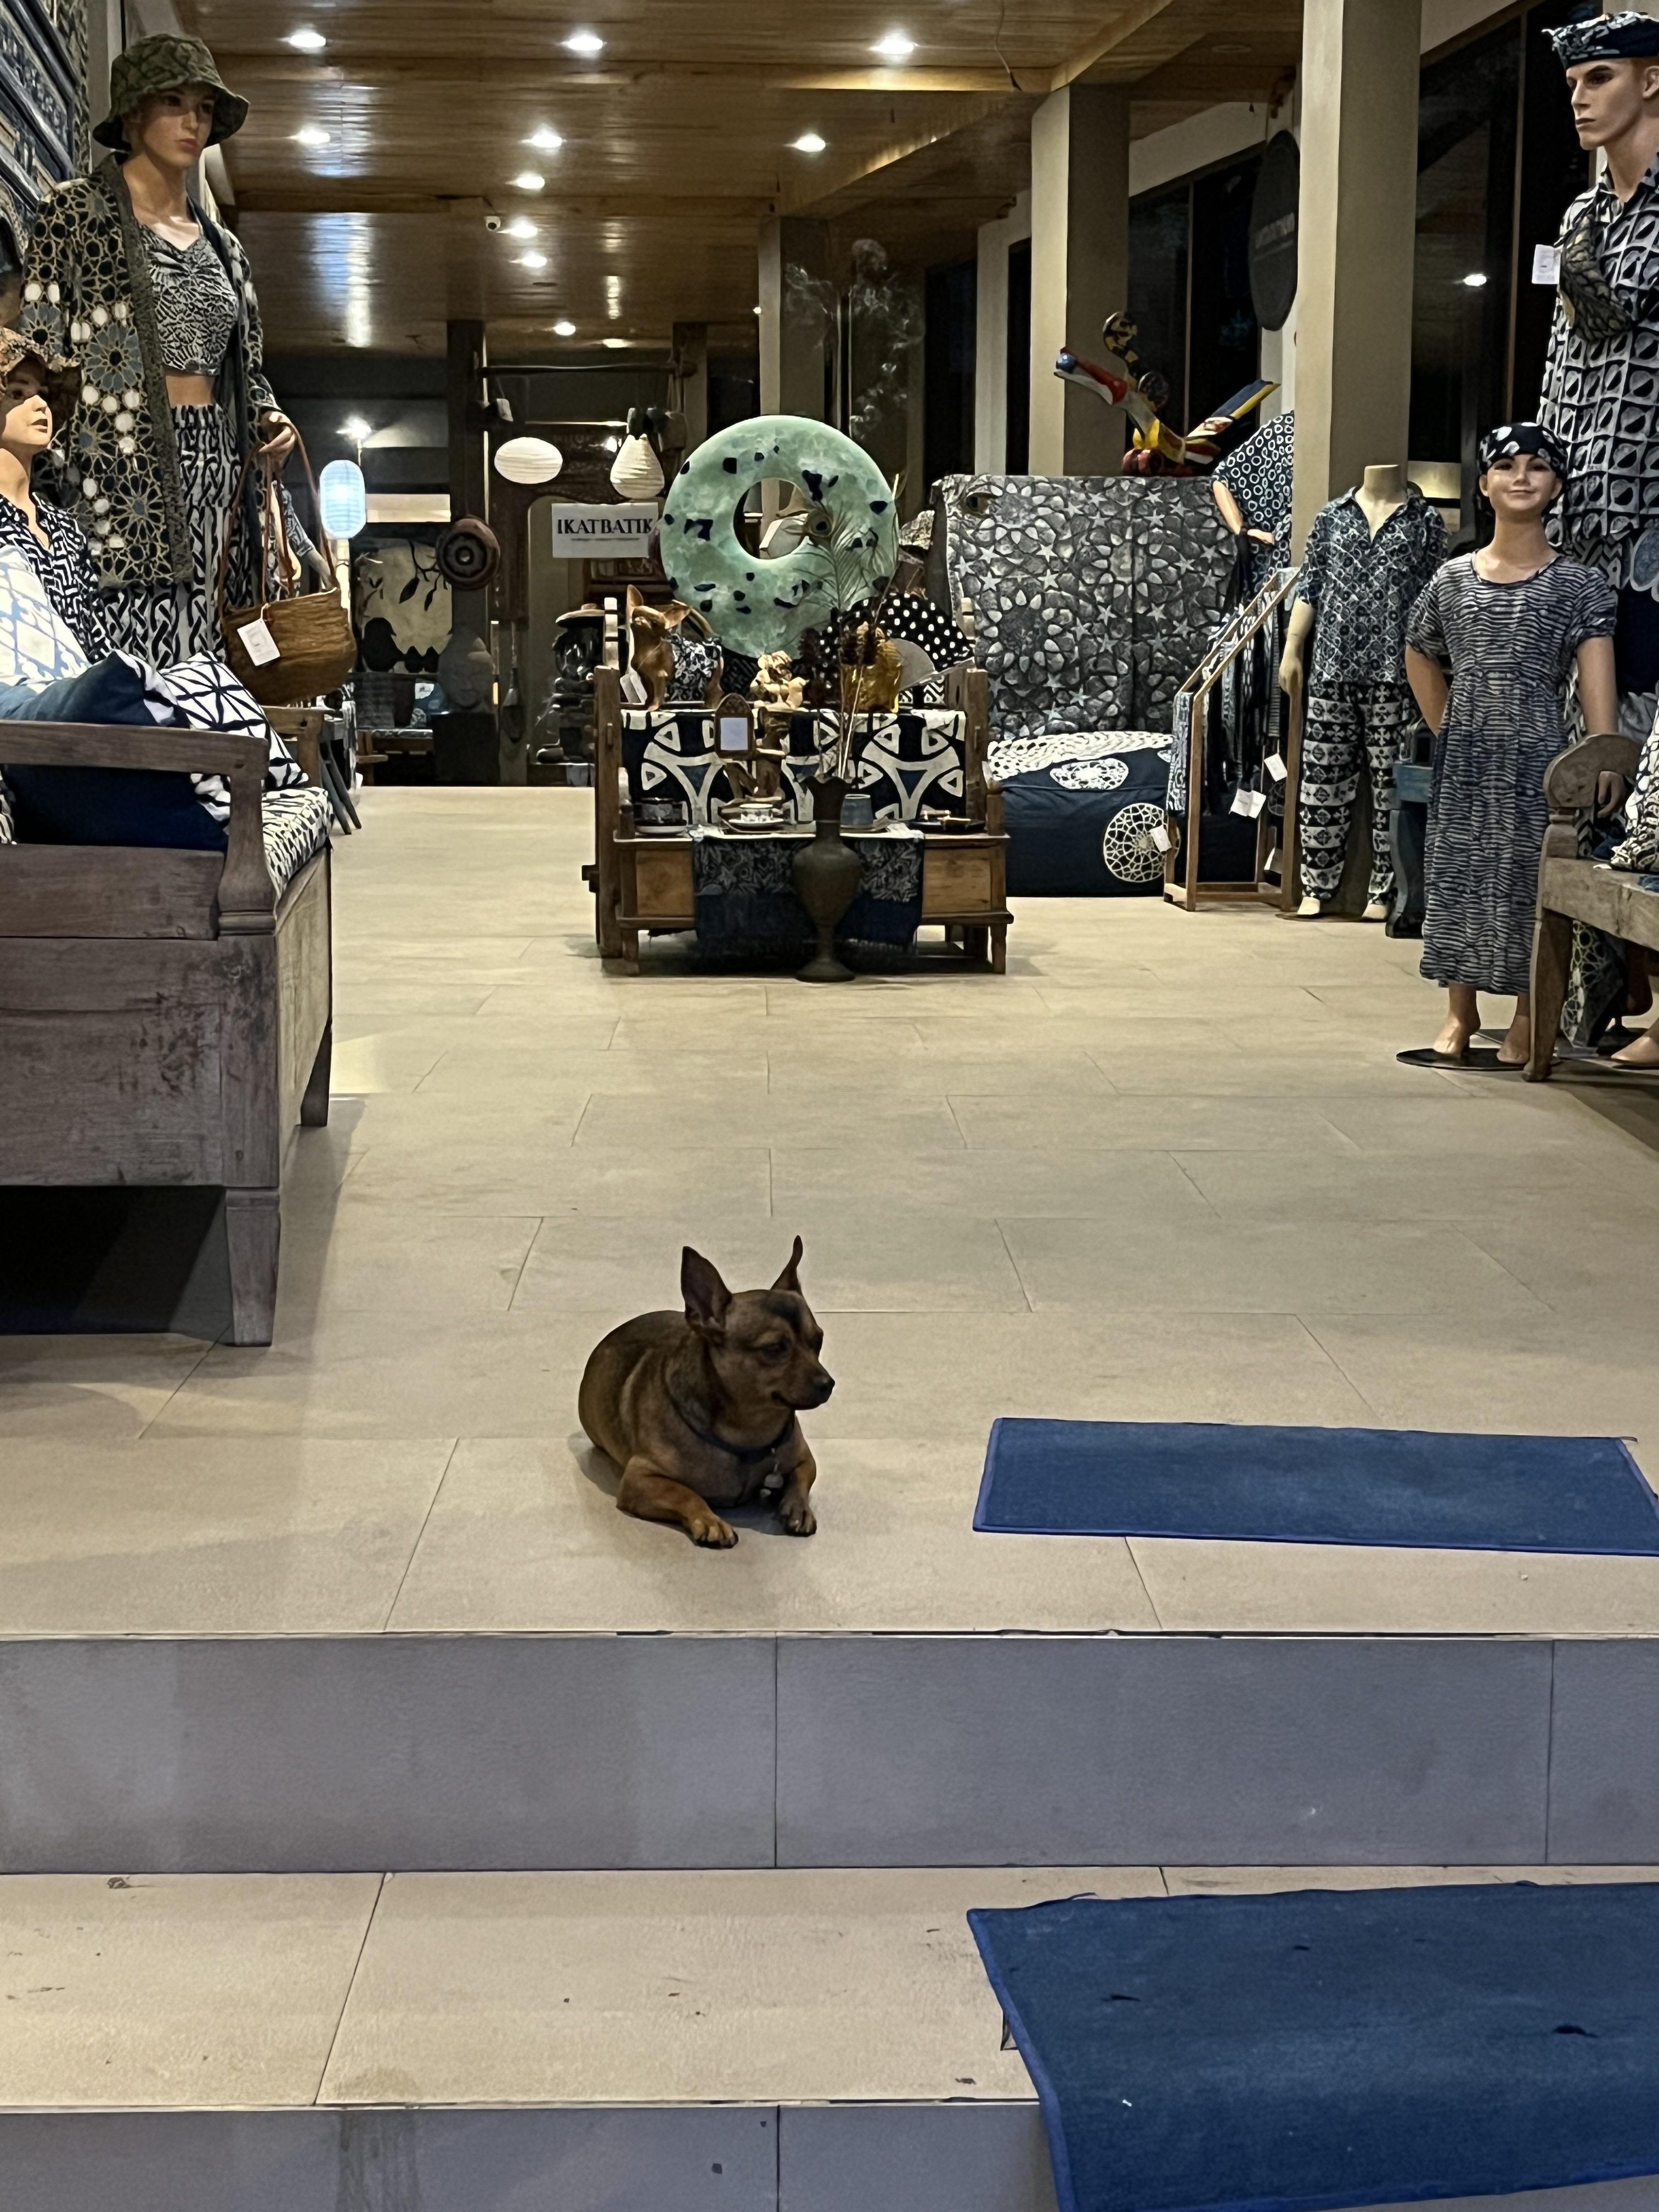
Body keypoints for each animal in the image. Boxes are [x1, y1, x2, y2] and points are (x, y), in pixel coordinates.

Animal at [578, 1239, 833, 1549]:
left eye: (818, 1341)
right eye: (774, 1349)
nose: (828, 1383)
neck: (749, 1432)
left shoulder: (805, 1458)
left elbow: (800, 1478)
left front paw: (797, 1507)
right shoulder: (639, 1478)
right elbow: (686, 1493)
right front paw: (711, 1521)